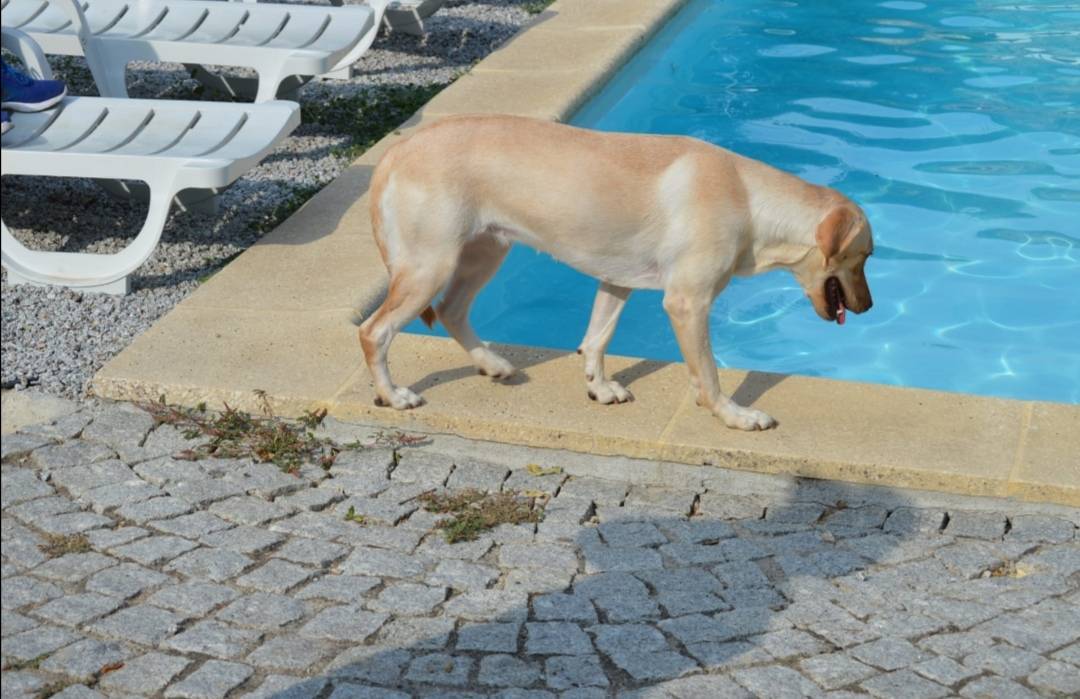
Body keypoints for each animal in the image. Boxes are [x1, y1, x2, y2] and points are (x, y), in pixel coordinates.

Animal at [358, 113, 872, 432]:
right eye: (865, 256)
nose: (868, 306)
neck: (746, 197)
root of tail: (397, 151)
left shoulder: (617, 281)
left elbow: (597, 338)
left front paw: (599, 387)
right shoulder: (687, 304)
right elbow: (708, 375)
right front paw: (735, 416)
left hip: (484, 253)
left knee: (451, 310)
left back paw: (491, 363)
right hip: (430, 265)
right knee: (374, 332)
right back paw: (392, 395)